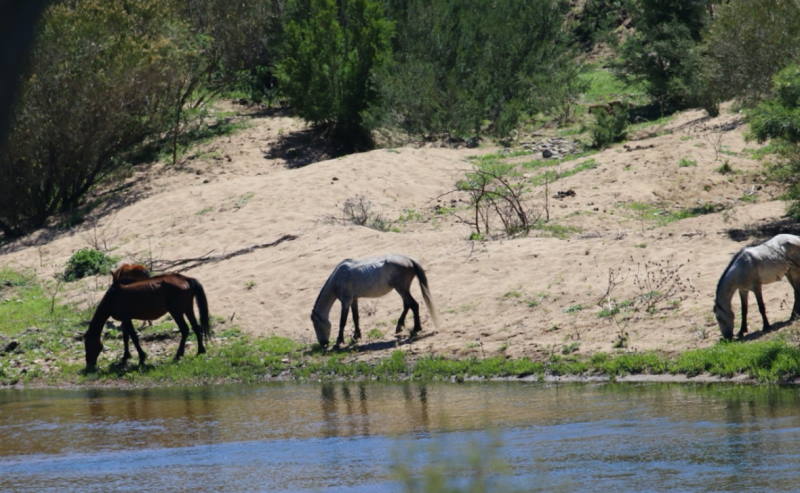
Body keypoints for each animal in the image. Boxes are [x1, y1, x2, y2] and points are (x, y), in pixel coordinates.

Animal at [310, 254, 439, 349]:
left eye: (316, 325)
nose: (323, 344)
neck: (338, 277)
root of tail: (409, 260)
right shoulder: (354, 300)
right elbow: (355, 318)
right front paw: (356, 336)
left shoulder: (346, 302)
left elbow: (343, 321)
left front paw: (339, 341)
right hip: (403, 289)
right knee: (407, 305)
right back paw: (399, 326)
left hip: (401, 289)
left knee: (414, 305)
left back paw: (416, 328)